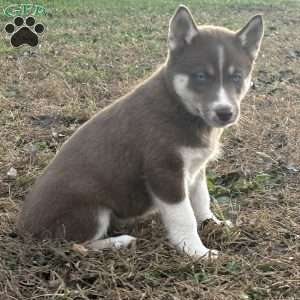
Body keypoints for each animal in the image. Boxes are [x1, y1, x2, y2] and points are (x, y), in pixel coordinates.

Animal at [17, 6, 264, 260]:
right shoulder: (165, 172)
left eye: (237, 77)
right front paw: (196, 251)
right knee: (75, 245)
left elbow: (201, 200)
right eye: (201, 76)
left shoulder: (196, 168)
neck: (181, 107)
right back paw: (119, 242)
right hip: (89, 211)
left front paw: (212, 223)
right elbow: (184, 216)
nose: (225, 112)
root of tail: (24, 229)